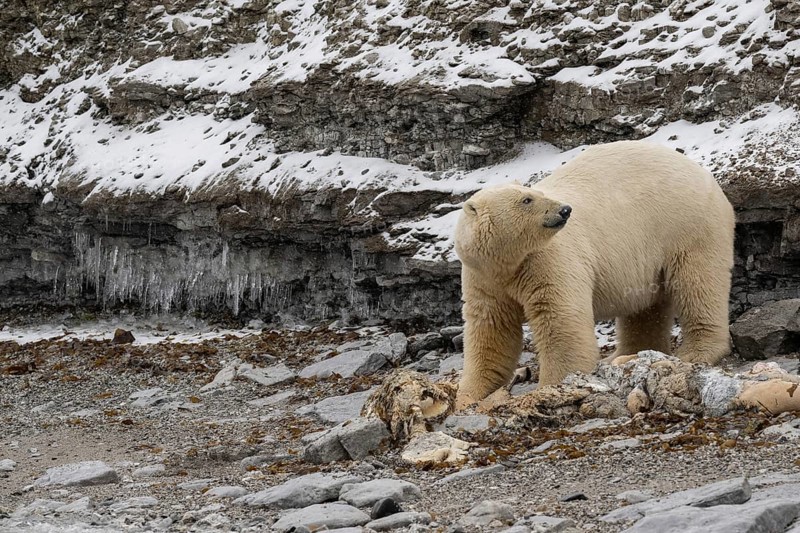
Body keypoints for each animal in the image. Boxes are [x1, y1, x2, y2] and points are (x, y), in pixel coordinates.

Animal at [454, 140, 735, 406]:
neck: (508, 263)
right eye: (527, 199)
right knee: (646, 308)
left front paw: (554, 384)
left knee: (698, 283)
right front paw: (469, 394)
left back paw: (696, 351)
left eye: (535, 192)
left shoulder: (546, 260)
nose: (564, 209)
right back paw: (624, 355)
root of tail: (704, 175)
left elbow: (560, 318)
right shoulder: (484, 278)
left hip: (686, 225)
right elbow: (492, 330)